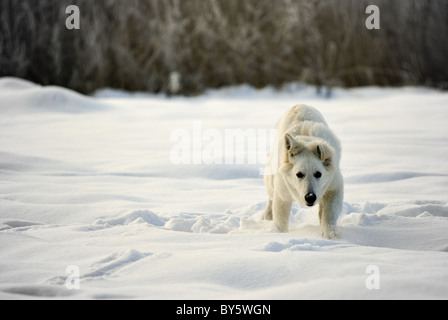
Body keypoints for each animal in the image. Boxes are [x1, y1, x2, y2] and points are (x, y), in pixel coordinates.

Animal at [262, 104, 344, 239]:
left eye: (319, 174)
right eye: (299, 174)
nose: (310, 197)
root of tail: (299, 104)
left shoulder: (333, 186)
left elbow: (329, 215)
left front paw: (330, 236)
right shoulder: (283, 192)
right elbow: (280, 218)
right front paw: (279, 233)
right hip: (271, 176)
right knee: (270, 196)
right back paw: (266, 216)